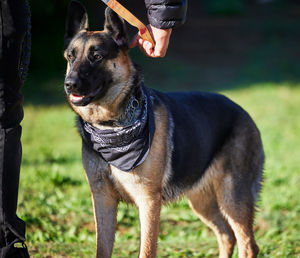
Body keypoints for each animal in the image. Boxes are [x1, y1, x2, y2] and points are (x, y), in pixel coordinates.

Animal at [63, 1, 264, 256]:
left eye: (97, 56)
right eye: (70, 57)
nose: (69, 84)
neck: (111, 128)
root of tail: (242, 110)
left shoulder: (148, 201)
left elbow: (147, 249)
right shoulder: (102, 198)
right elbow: (102, 248)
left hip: (232, 197)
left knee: (247, 244)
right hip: (202, 201)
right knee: (226, 235)